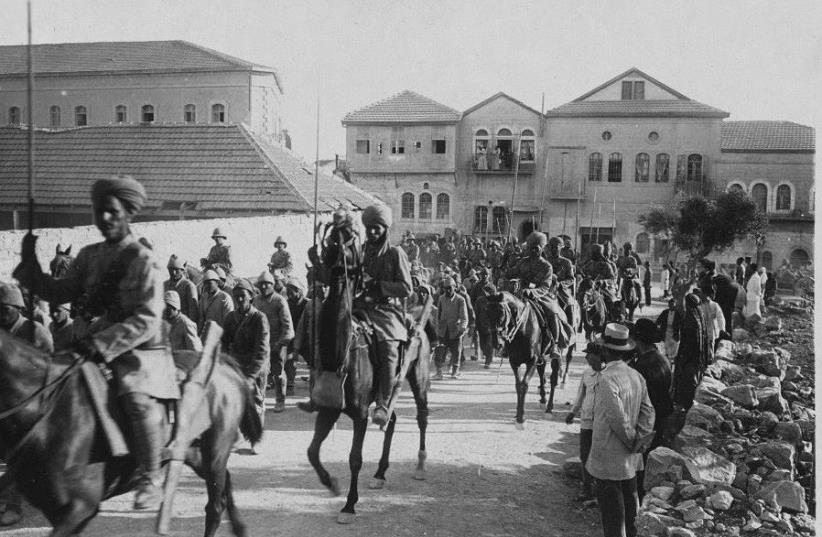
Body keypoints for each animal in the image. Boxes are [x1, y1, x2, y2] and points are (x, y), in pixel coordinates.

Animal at [0, 326, 260, 536]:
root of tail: (225, 365)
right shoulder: (57, 509)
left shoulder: (80, 507)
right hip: (195, 456)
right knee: (225, 484)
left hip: (214, 452)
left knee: (215, 506)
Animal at [302, 221, 432, 524]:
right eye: (329, 239)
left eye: (349, 239)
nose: (333, 249)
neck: (339, 354)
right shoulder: (329, 408)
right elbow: (312, 451)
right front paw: (331, 484)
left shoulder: (360, 413)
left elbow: (355, 458)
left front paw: (349, 506)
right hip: (386, 391)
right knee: (390, 418)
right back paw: (381, 472)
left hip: (417, 377)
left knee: (421, 415)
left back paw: (420, 465)